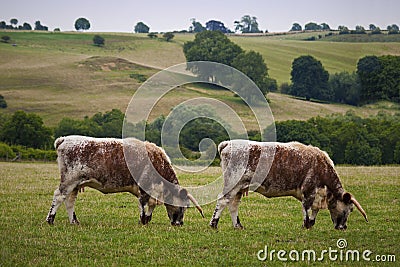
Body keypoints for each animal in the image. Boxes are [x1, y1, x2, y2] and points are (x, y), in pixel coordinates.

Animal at [46, 137, 203, 227]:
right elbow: (143, 205)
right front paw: (143, 221)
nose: (179, 223)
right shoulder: (144, 189)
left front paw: (147, 219)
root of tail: (64, 139)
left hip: (76, 184)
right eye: (183, 206)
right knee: (59, 196)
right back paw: (50, 220)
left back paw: (74, 222)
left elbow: (151, 206)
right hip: (69, 180)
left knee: (69, 201)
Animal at [209, 141, 368, 231]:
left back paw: (238, 226)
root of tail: (228, 144)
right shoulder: (309, 190)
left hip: (240, 187)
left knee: (233, 204)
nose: (343, 227)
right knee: (223, 200)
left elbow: (314, 210)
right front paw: (306, 225)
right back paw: (214, 224)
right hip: (232, 182)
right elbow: (306, 208)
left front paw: (311, 223)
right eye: (350, 209)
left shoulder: (316, 194)